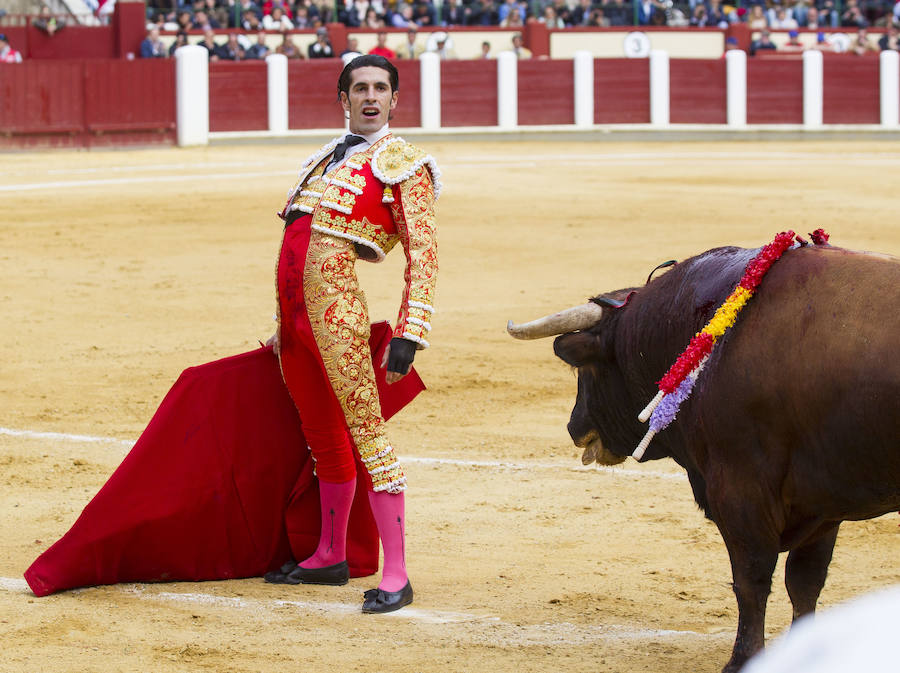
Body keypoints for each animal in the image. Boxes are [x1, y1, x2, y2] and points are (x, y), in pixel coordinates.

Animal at [510, 239, 896, 668]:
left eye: (587, 369)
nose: (574, 427)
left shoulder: (740, 490)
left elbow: (751, 579)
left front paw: (741, 660)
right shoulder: (821, 507)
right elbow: (804, 581)